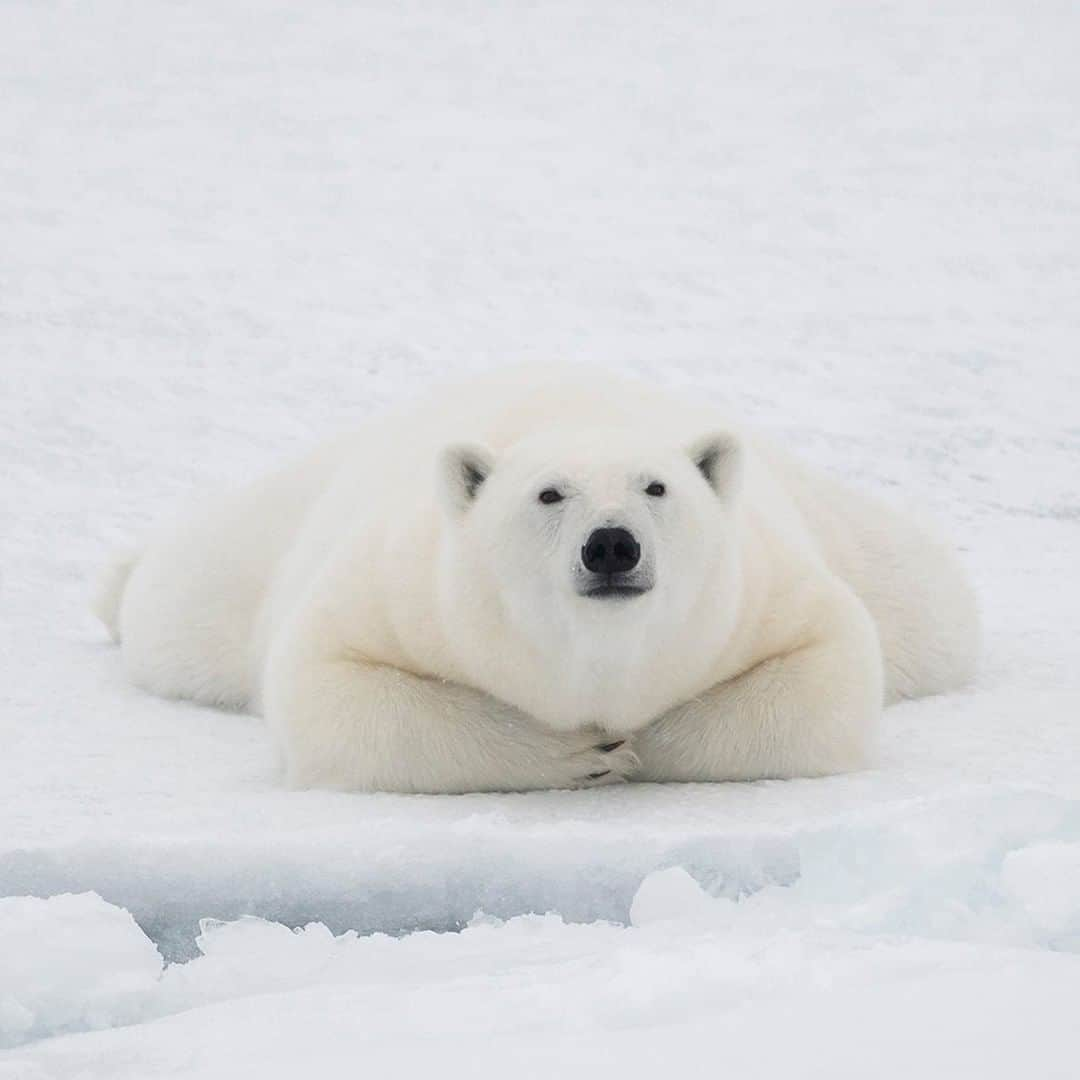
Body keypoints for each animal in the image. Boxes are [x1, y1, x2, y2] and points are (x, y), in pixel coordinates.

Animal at [97, 369, 984, 794]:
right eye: (550, 494)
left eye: (656, 486)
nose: (612, 546)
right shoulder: (407, 589)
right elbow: (329, 686)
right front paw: (576, 755)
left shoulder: (761, 591)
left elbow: (827, 673)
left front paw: (641, 743)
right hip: (263, 542)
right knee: (180, 607)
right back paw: (116, 582)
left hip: (864, 547)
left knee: (934, 602)